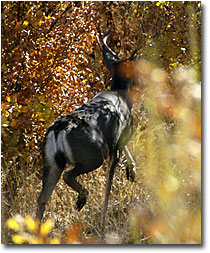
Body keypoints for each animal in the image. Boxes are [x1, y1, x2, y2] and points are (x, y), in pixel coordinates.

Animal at [36, 25, 143, 229]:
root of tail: (60, 129)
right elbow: (109, 181)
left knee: (42, 198)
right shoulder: (119, 139)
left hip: (51, 160)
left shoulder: (118, 140)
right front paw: (104, 217)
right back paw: (82, 199)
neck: (121, 94)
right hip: (93, 154)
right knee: (68, 175)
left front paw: (132, 171)